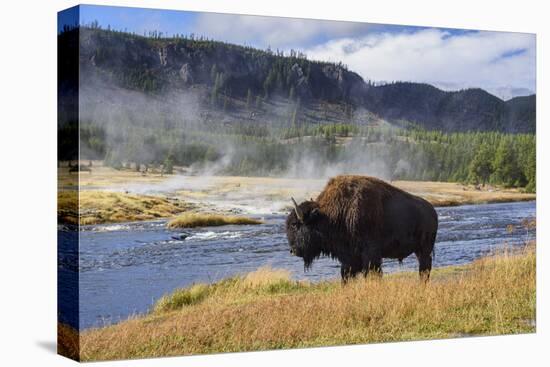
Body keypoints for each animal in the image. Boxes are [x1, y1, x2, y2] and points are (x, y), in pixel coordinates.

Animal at [288, 175, 440, 282]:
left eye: (295, 225)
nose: (293, 250)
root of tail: (432, 211)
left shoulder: (370, 254)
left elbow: (373, 273)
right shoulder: (349, 257)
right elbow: (346, 275)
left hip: (424, 249)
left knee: (424, 268)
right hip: (419, 250)